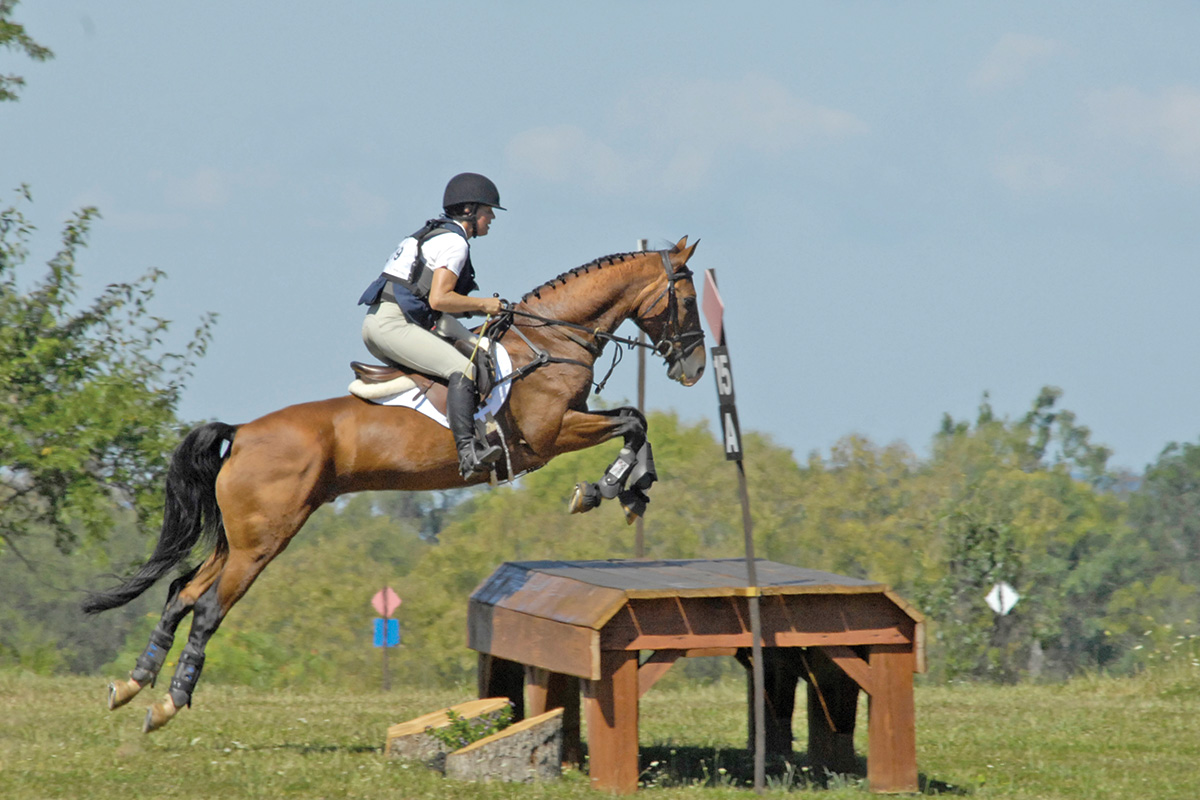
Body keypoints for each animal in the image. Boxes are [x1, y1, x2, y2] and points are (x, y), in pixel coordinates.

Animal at [82, 236, 700, 734]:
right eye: (690, 300)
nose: (693, 368)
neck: (547, 344)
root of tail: (243, 432)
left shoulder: (568, 426)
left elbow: (634, 418)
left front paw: (631, 488)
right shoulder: (551, 434)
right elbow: (632, 421)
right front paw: (610, 488)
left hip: (240, 539)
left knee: (181, 594)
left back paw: (132, 685)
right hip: (263, 542)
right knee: (208, 609)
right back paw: (168, 704)